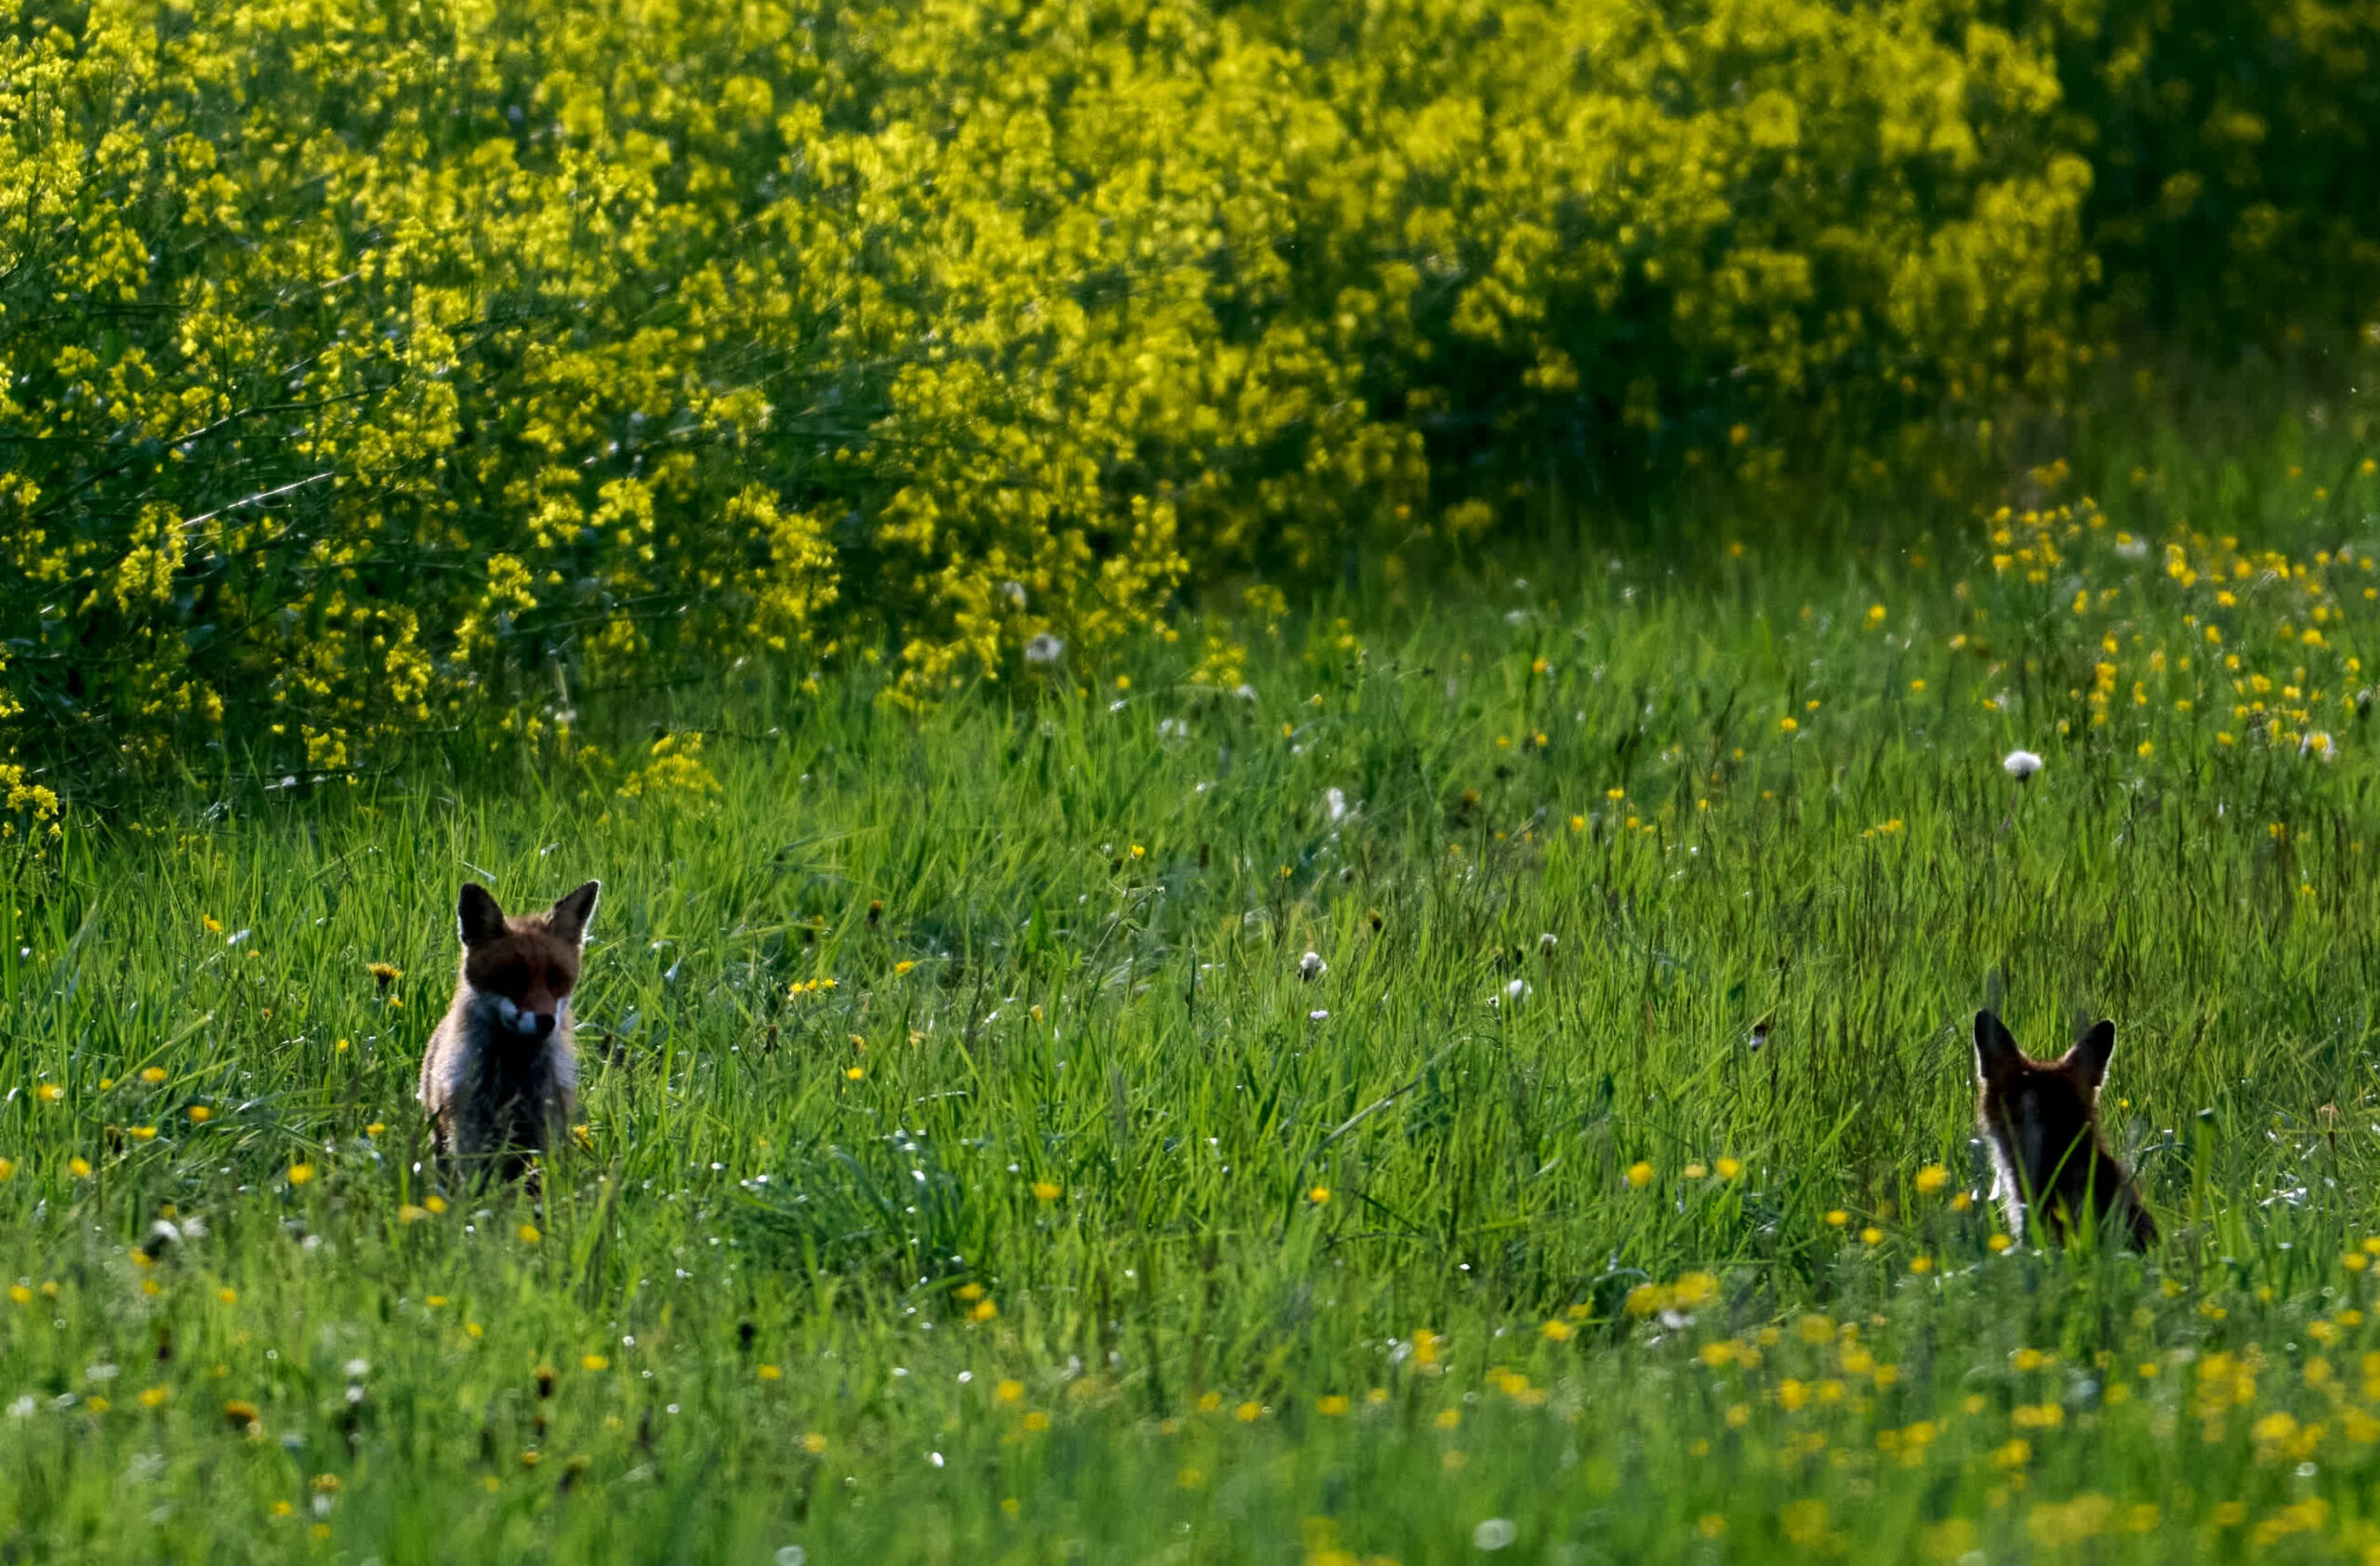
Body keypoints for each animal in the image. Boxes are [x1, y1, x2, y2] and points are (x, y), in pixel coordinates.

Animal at [414, 875, 595, 1171]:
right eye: (513, 979)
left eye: (557, 980)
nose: (546, 1022)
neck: (513, 1078)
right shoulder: (470, 1140)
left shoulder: (543, 1137)